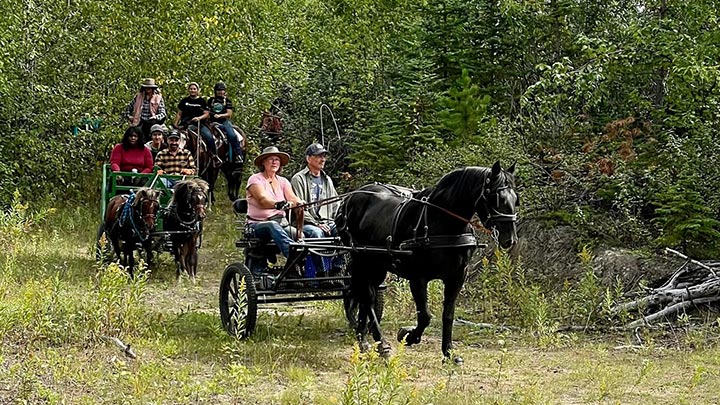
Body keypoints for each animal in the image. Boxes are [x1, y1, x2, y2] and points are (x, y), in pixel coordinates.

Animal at [336, 162, 516, 362]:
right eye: (496, 198)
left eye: (515, 199)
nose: (509, 239)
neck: (440, 222)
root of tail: (350, 198)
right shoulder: (417, 278)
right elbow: (425, 316)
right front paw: (408, 335)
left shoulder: (456, 277)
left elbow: (448, 315)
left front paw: (449, 353)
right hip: (362, 259)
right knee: (365, 297)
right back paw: (378, 343)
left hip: (377, 265)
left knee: (366, 296)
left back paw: (365, 339)